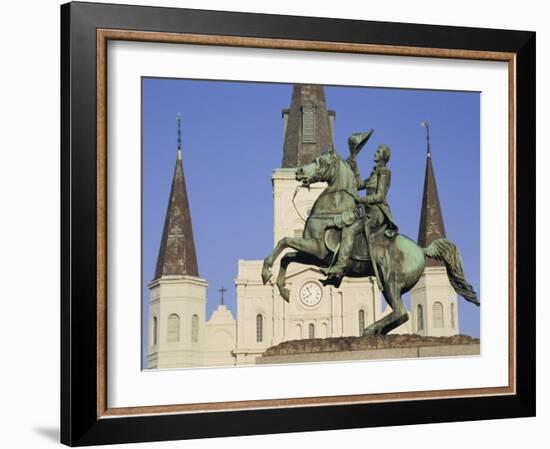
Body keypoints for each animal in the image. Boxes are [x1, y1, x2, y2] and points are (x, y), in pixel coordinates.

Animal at [260, 148, 480, 336]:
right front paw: (282, 288)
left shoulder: (316, 249)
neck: (330, 211)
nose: (299, 171)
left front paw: (266, 272)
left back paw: (368, 329)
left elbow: (284, 242)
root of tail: (421, 249)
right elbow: (287, 256)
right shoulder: (315, 256)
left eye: (319, 161)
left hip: (391, 282)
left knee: (401, 312)